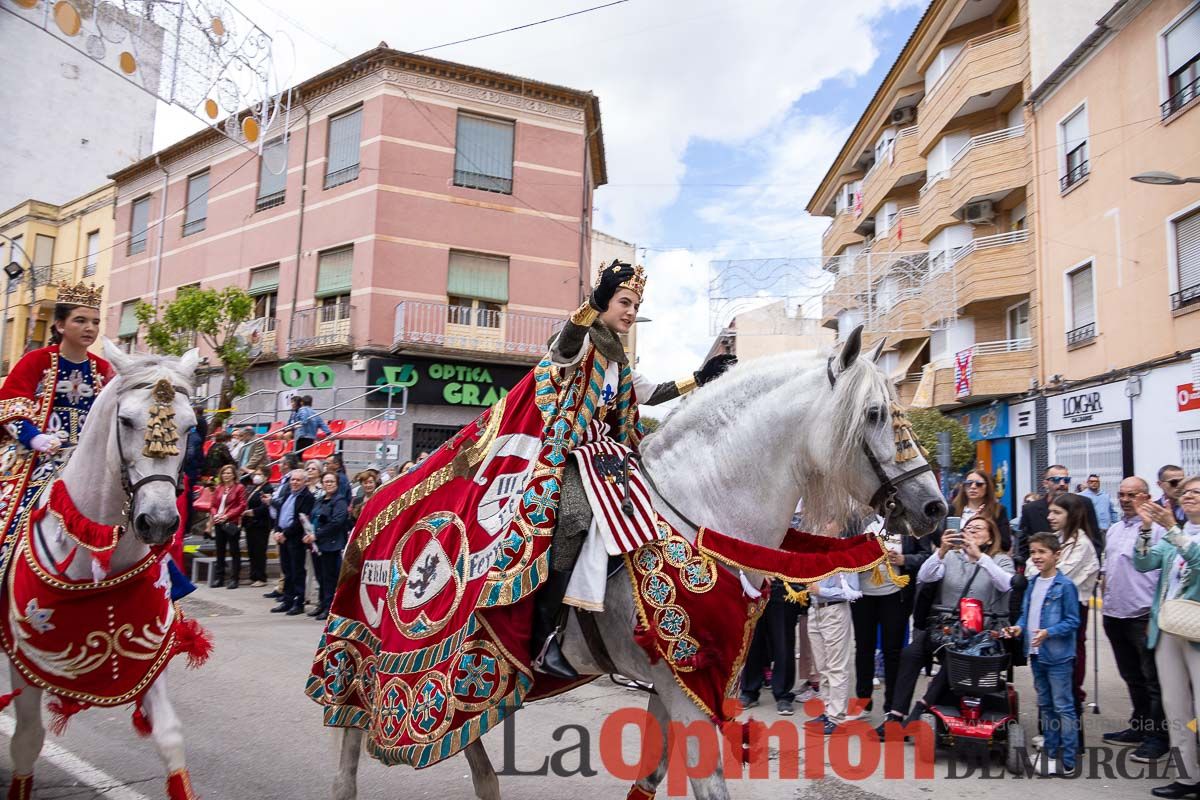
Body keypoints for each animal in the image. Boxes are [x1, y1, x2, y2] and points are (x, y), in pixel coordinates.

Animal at [4, 340, 199, 796]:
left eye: (190, 427)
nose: (158, 521)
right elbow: (27, 741)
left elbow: (170, 738)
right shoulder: (24, 660)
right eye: (125, 420)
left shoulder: (148, 653)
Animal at [331, 326, 945, 800]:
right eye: (874, 414)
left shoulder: (677, 683)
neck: (701, 508)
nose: (934, 507)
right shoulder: (687, 688)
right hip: (377, 655)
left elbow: (650, 775)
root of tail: (373, 500)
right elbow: (707, 783)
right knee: (354, 733)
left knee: (467, 739)